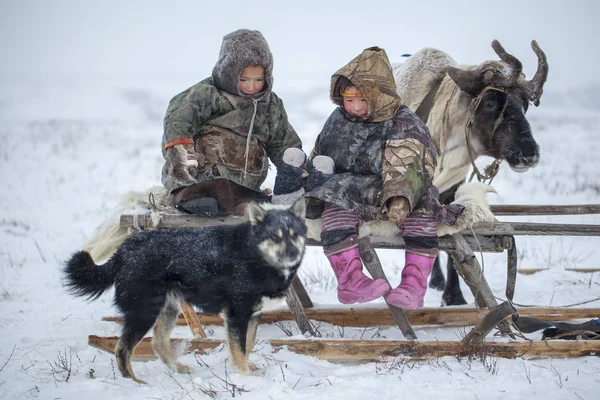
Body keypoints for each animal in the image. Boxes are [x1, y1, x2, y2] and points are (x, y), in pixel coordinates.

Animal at [63, 198, 308, 382]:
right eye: (274, 236)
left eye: (295, 234)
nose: (292, 253)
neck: (255, 255)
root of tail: (123, 251)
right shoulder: (237, 316)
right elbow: (239, 349)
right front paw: (245, 375)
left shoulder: (253, 315)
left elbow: (246, 346)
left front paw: (246, 369)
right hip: (144, 311)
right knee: (122, 349)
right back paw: (134, 382)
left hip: (168, 309)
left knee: (158, 344)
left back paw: (178, 369)